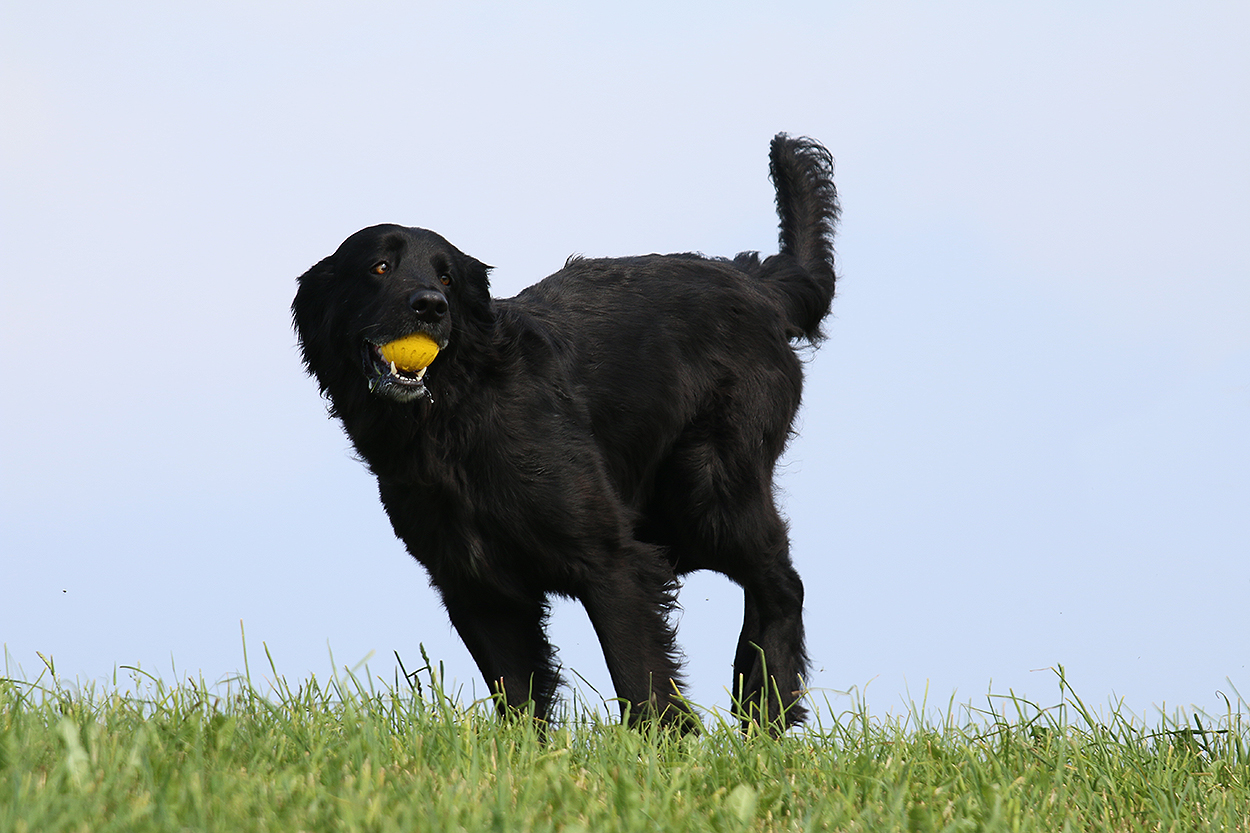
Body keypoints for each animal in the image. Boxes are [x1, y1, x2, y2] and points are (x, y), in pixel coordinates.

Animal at [292, 134, 839, 730]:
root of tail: (757, 282)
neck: (457, 415)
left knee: (782, 582)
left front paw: (658, 747)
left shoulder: (612, 559)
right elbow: (517, 695)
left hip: (707, 491)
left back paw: (767, 706)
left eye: (447, 278)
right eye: (379, 266)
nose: (430, 307)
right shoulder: (476, 587)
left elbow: (640, 678)